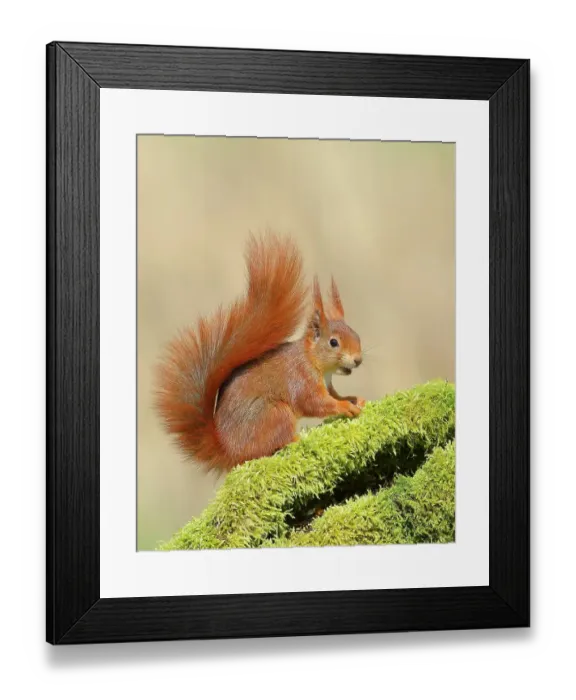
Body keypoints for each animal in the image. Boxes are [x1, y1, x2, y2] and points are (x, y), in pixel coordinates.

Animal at [154, 232, 365, 473]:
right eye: (333, 342)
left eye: (357, 335)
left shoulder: (327, 383)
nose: (358, 360)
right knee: (268, 448)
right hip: (274, 414)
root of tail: (230, 450)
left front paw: (353, 399)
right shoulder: (301, 379)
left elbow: (333, 395)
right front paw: (344, 407)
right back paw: (294, 440)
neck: (314, 361)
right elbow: (315, 403)